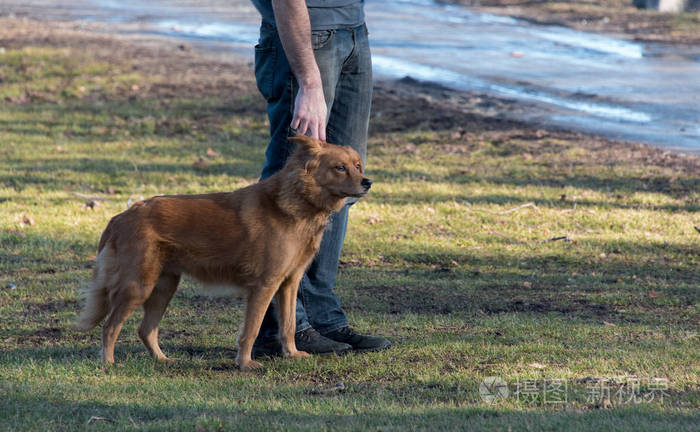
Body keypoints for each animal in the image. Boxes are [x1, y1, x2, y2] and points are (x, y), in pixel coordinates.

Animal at [76, 137, 372, 370]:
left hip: (163, 287)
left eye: (358, 166)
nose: (368, 182)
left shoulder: (289, 283)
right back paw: (109, 363)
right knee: (110, 327)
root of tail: (120, 216)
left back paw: (162, 360)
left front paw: (292, 354)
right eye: (339, 167)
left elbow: (288, 325)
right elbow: (251, 329)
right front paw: (245, 363)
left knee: (145, 330)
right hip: (138, 286)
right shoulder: (264, 285)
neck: (298, 202)